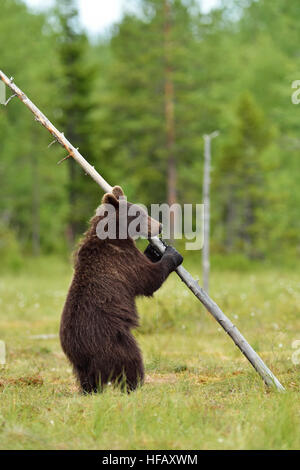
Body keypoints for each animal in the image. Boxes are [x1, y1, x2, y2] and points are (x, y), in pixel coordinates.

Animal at [59, 185, 183, 392]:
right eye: (141, 214)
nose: (159, 226)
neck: (115, 234)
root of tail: (80, 352)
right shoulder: (122, 261)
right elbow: (148, 279)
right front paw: (172, 254)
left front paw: (154, 249)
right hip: (112, 339)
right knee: (131, 359)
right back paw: (135, 384)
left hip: (83, 362)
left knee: (88, 379)